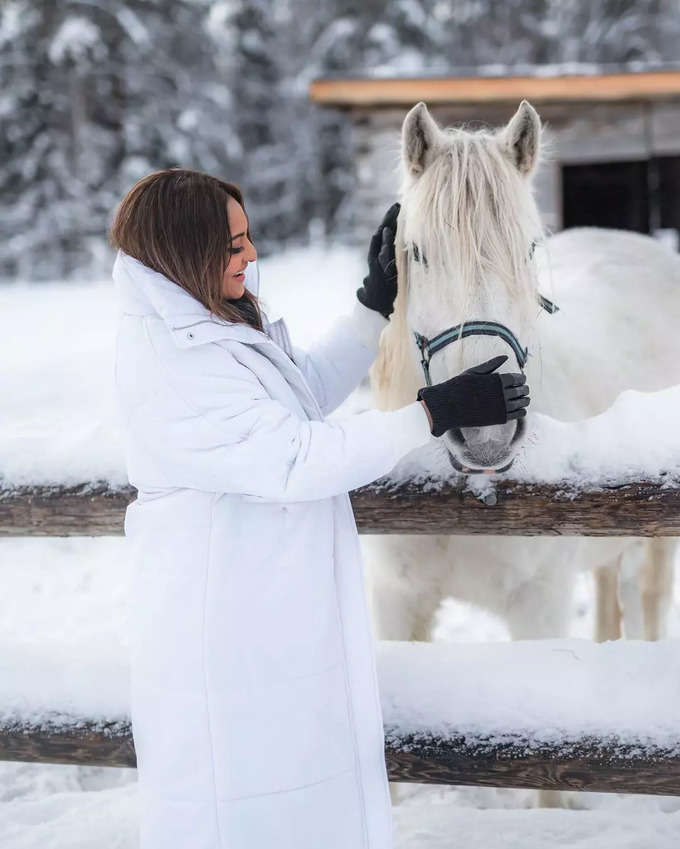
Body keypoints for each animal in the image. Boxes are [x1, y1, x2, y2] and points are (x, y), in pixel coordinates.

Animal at [364, 99, 680, 800]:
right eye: (417, 253)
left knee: (648, 599)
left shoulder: (537, 609)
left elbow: (547, 786)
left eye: (529, 249)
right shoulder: (395, 606)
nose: (485, 430)